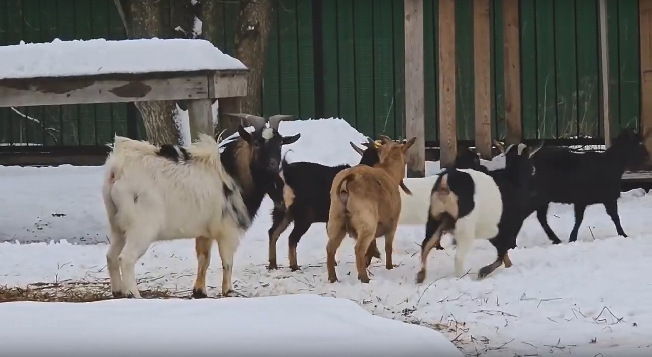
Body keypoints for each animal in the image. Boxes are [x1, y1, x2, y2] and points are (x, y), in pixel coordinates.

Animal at [102, 112, 300, 296]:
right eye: (257, 143)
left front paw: (199, 291)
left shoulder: (204, 233)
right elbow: (227, 261)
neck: (232, 173)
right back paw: (134, 294)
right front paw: (228, 291)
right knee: (126, 258)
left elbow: (203, 259)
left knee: (111, 256)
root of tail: (117, 169)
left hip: (117, 225)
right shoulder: (228, 231)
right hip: (141, 228)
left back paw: (118, 292)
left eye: (280, 143)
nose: (273, 164)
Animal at [324, 135, 416, 282]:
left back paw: (333, 278)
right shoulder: (392, 224)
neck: (389, 172)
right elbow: (388, 247)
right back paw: (364, 278)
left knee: (330, 248)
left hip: (336, 219)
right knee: (359, 249)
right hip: (367, 221)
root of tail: (348, 179)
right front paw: (389, 266)